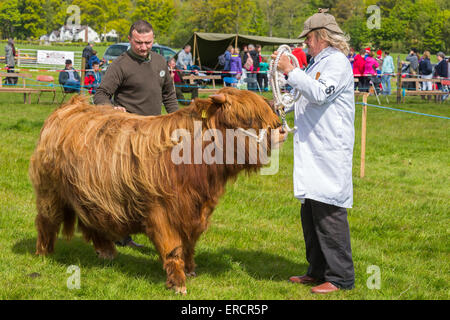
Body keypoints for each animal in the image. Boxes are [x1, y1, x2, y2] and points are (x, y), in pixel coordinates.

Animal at [28, 86, 284, 294]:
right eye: (246, 117)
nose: (280, 130)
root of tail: (70, 107)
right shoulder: (162, 211)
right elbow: (173, 247)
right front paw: (178, 283)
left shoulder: (196, 210)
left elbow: (189, 243)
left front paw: (190, 270)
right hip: (50, 192)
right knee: (46, 220)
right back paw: (43, 253)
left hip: (89, 193)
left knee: (91, 222)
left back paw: (106, 252)